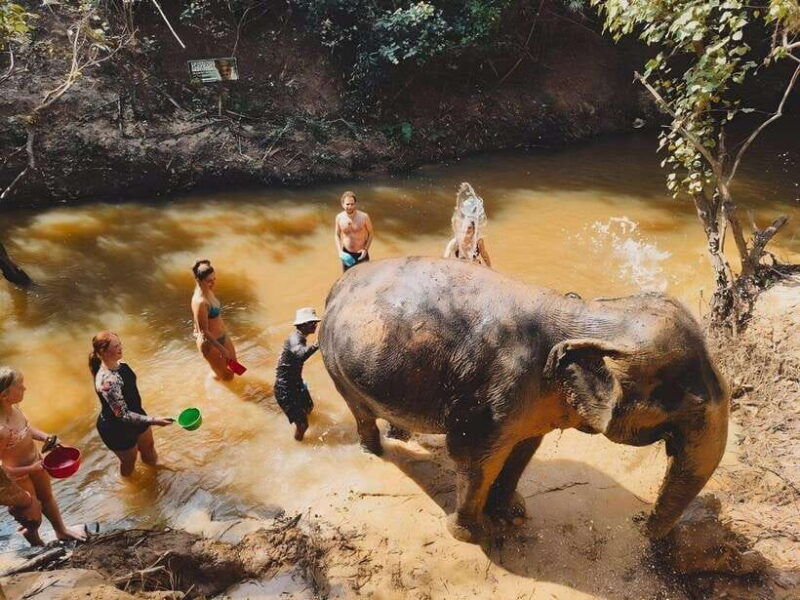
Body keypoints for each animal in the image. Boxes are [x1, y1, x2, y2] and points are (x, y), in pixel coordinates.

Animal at [319, 257, 729, 543]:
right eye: (685, 403)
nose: (639, 524)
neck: (581, 314)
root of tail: (338, 285)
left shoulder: (535, 404)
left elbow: (524, 448)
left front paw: (512, 514)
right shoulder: (492, 396)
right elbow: (474, 456)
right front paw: (468, 534)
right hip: (334, 364)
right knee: (359, 411)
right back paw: (374, 452)